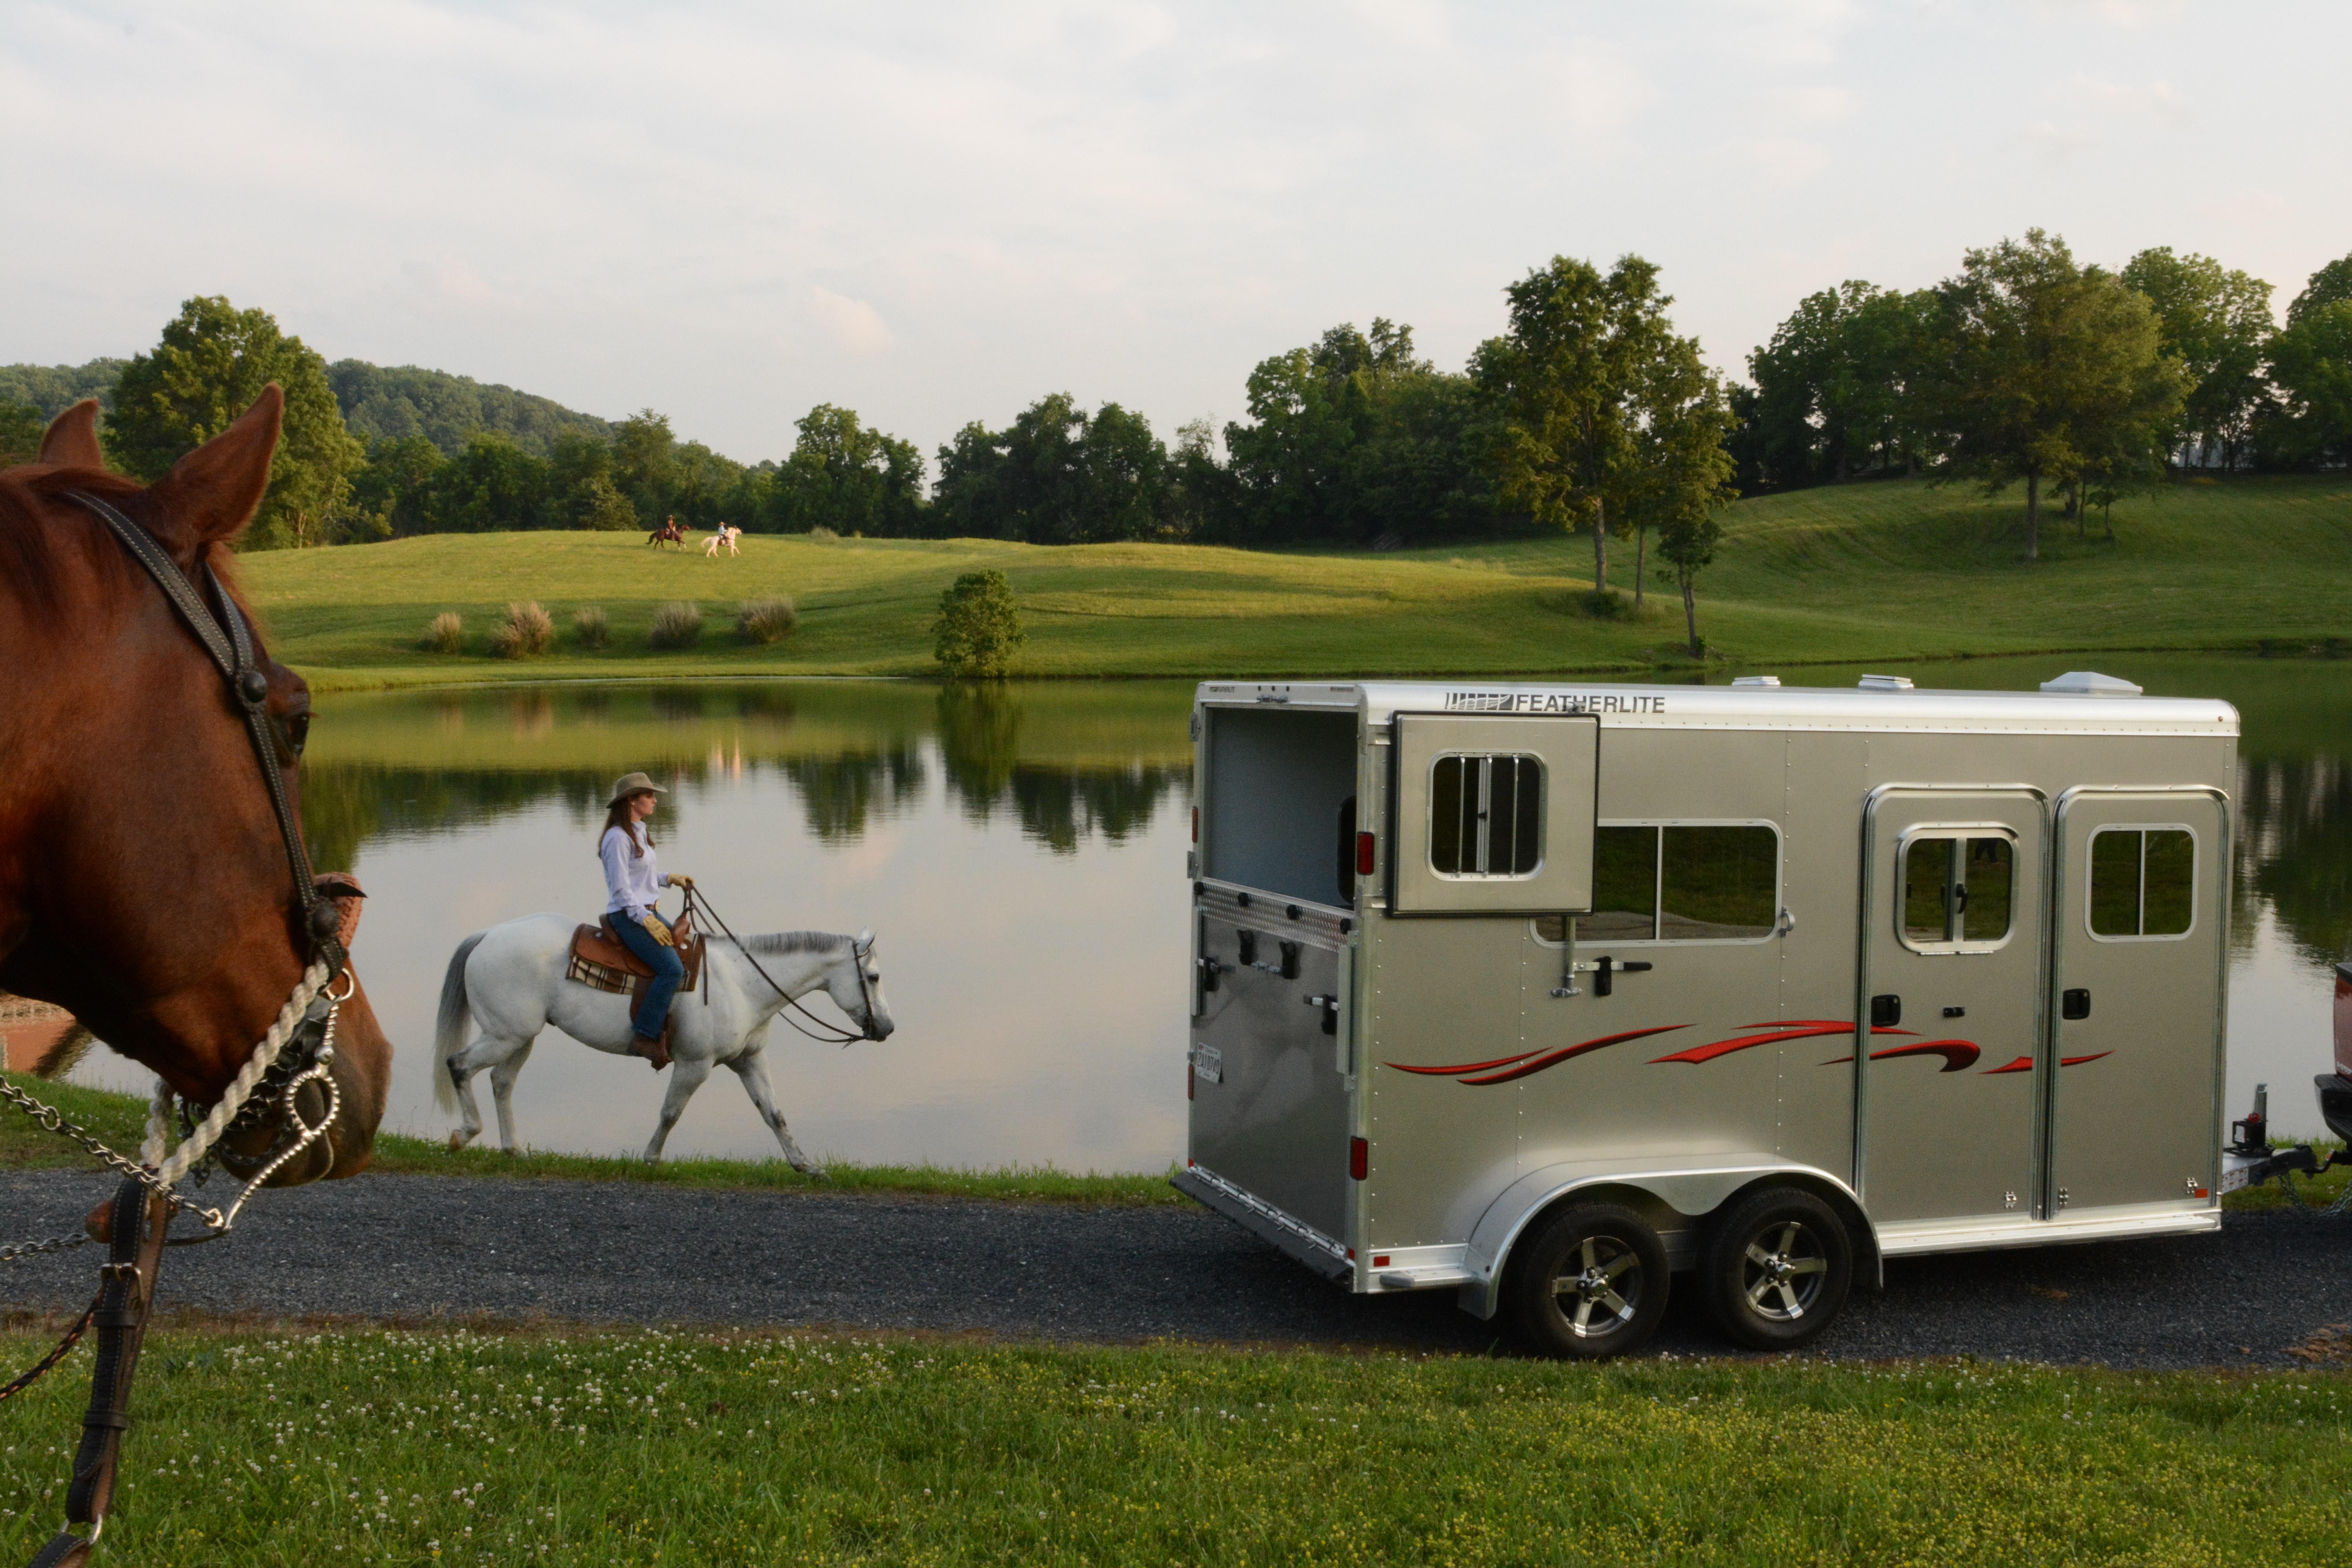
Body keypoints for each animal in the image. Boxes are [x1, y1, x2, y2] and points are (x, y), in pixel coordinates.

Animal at [433, 912, 889, 1171]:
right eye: (874, 977)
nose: (887, 1028)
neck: (742, 983)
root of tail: (487, 935)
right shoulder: (695, 1064)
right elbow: (671, 1113)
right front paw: (651, 1158)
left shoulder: (749, 1060)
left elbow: (774, 1113)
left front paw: (805, 1165)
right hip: (505, 1035)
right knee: (459, 1065)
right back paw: (464, 1134)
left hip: (520, 1038)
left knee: (502, 1082)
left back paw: (513, 1150)